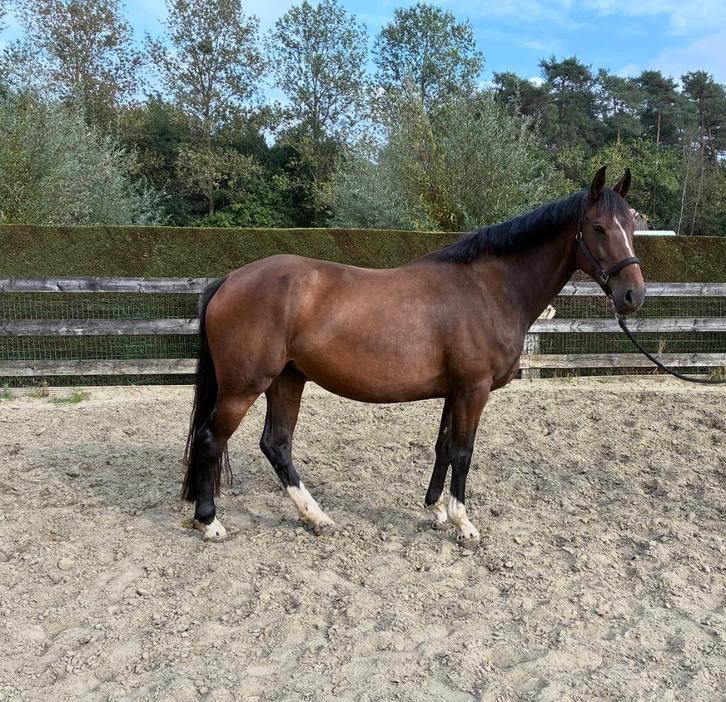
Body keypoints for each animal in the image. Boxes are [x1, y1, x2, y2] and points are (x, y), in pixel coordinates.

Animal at [182, 166, 646, 548]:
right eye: (599, 228)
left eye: (631, 227)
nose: (633, 295)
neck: (490, 289)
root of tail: (229, 280)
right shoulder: (474, 390)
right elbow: (463, 452)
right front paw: (463, 523)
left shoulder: (454, 392)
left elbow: (443, 447)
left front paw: (436, 511)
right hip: (244, 387)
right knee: (210, 439)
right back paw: (210, 522)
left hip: (287, 380)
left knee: (276, 445)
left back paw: (316, 518)